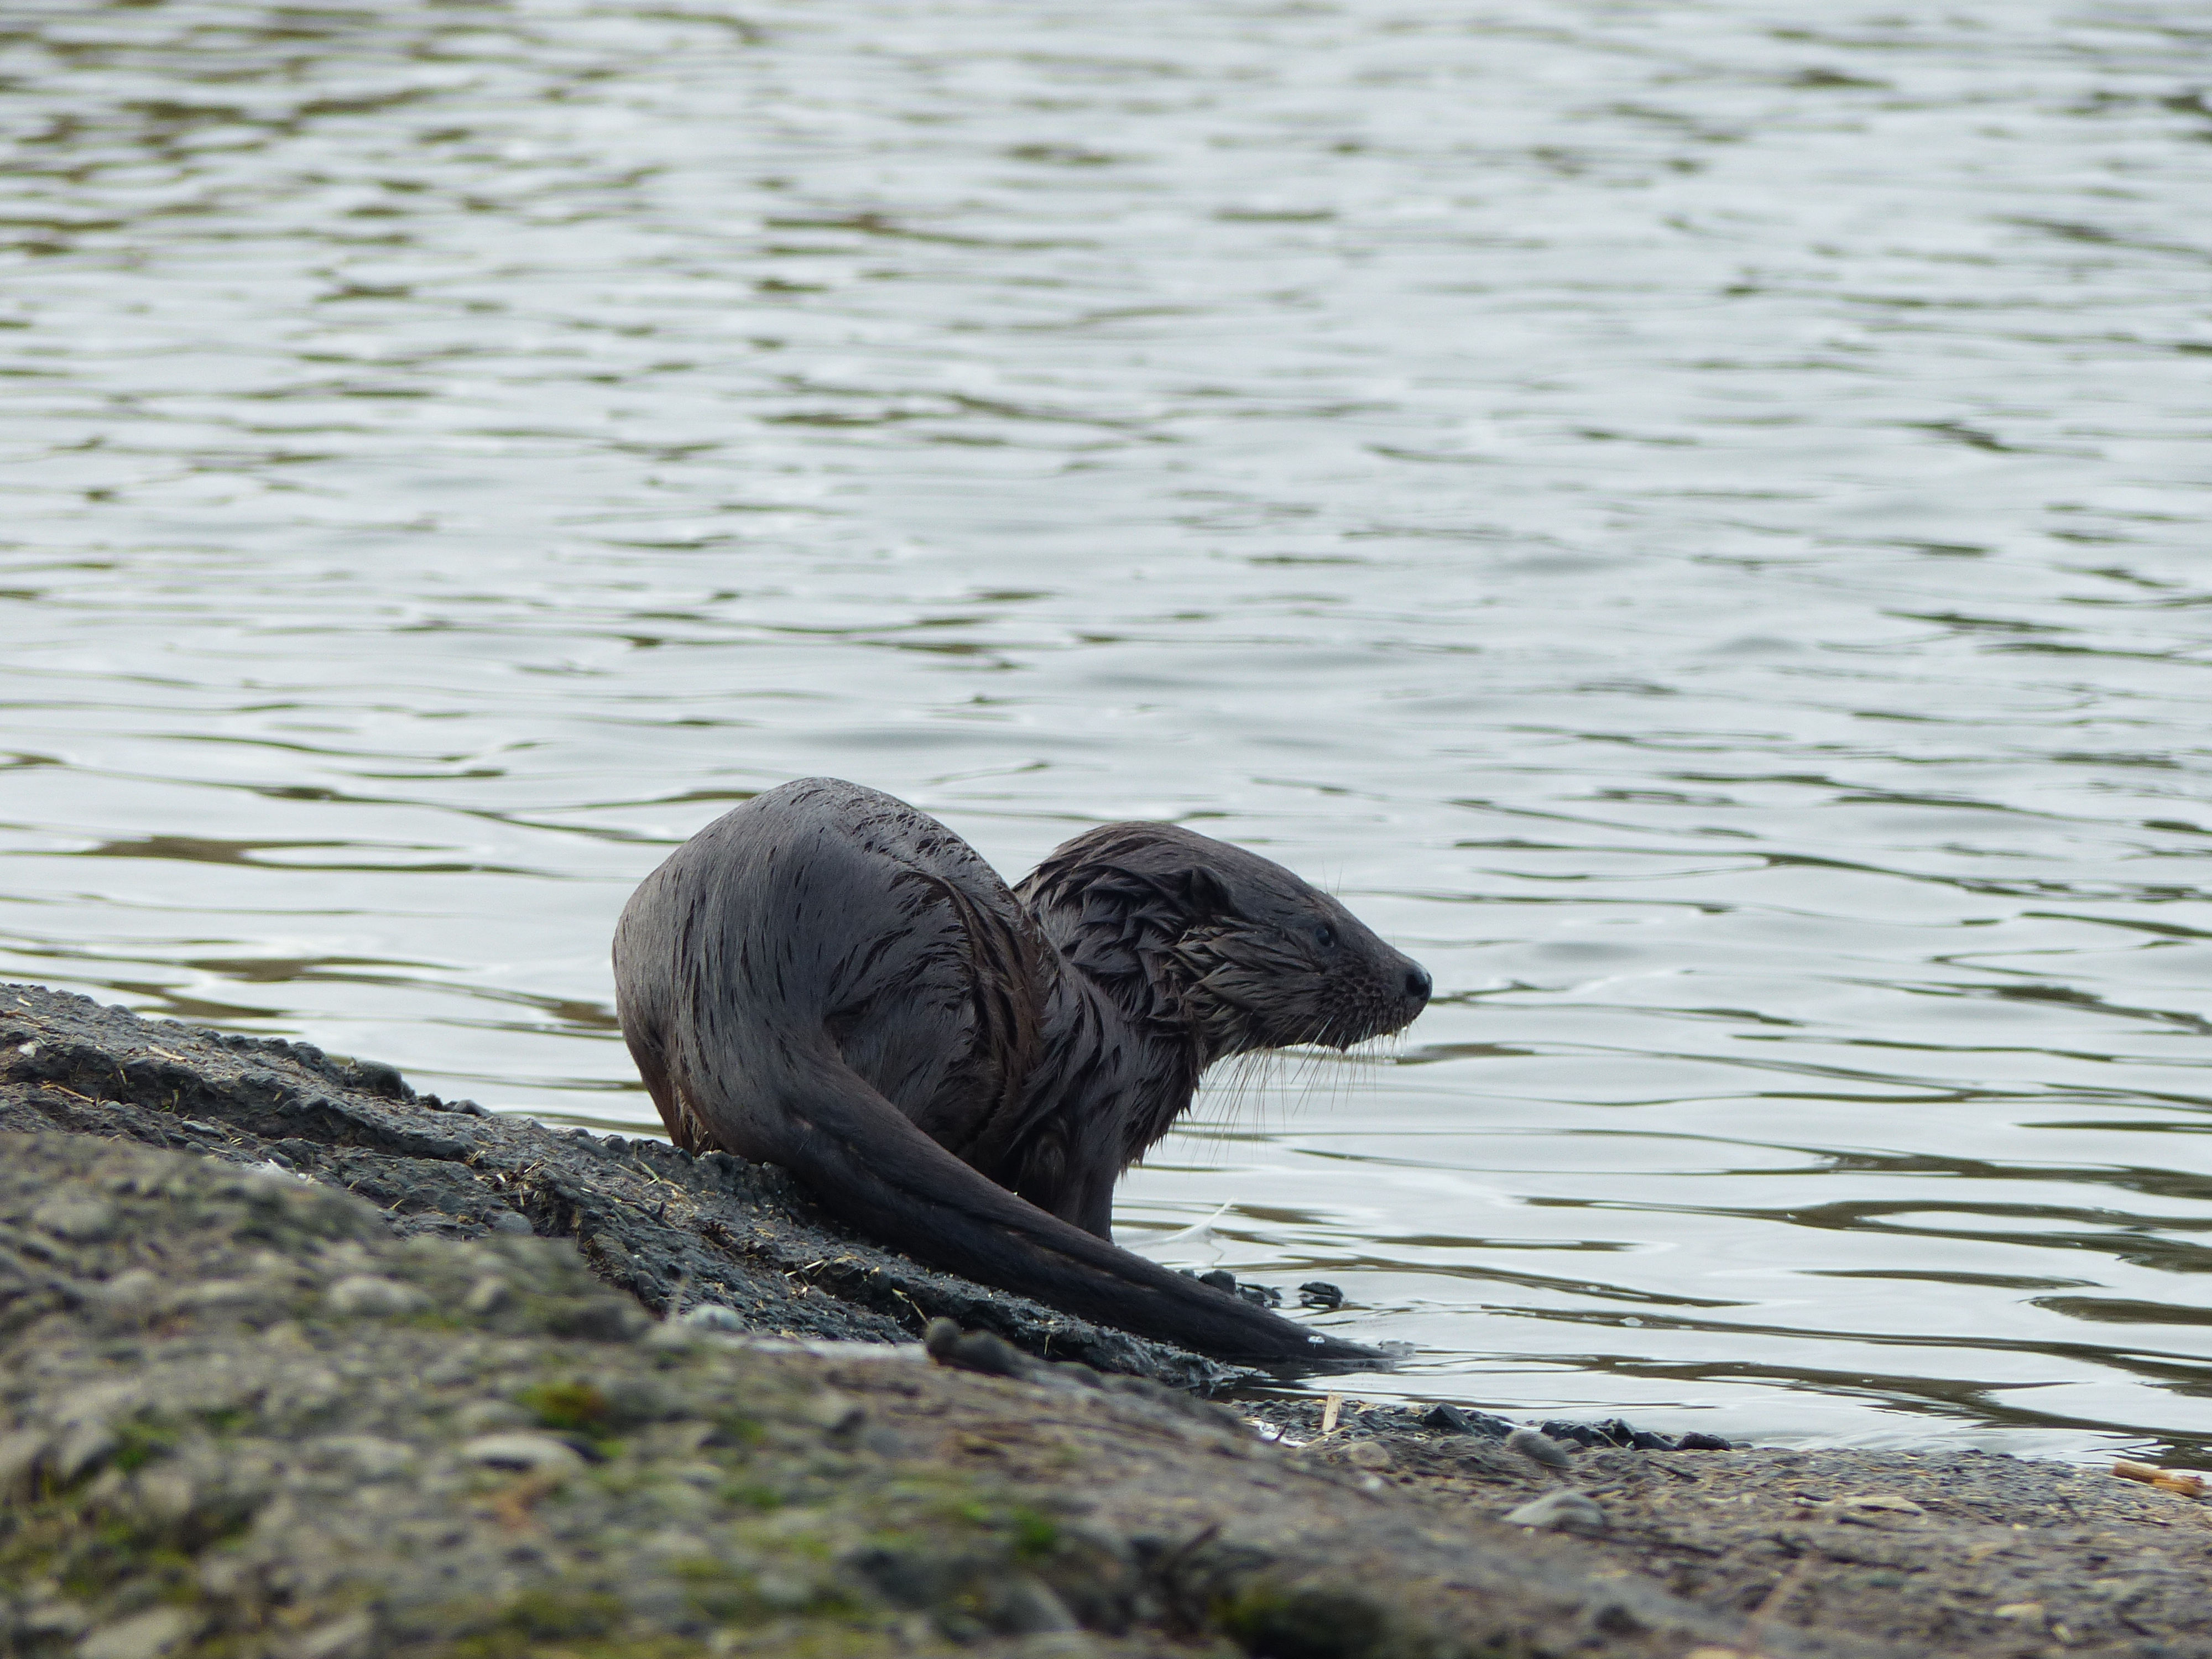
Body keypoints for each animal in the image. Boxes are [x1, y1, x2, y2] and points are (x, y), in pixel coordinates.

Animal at [615, 779, 1425, 1363]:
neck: (1122, 1004)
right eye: (1325, 930)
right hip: (937, 975)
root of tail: (741, 977)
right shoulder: (1099, 1113)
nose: (1420, 978)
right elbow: (1085, 1215)